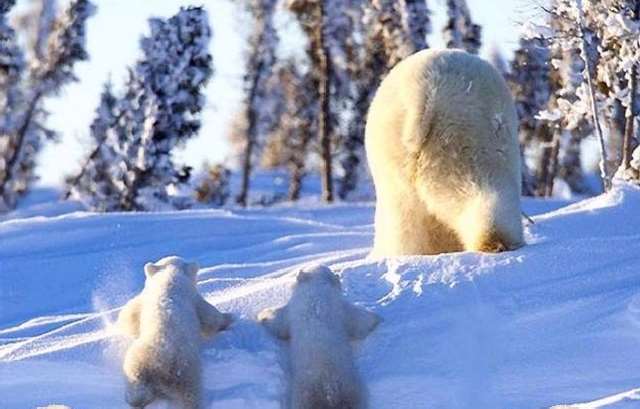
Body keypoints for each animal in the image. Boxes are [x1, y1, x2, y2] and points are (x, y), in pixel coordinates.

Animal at [116, 255, 234, 408]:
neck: (169, 278)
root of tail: (161, 364)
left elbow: (130, 314)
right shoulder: (193, 298)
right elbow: (209, 316)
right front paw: (229, 318)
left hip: (139, 363)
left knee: (137, 387)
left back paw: (137, 399)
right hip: (185, 369)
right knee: (190, 395)